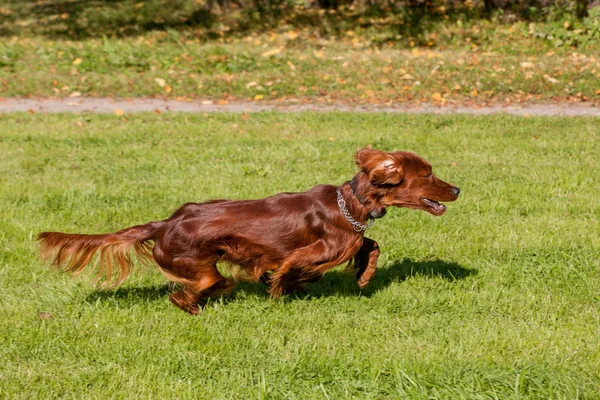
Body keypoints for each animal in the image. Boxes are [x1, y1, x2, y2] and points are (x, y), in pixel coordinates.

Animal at [37, 148, 460, 314]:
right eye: (427, 176)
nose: (457, 190)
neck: (350, 204)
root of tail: (165, 222)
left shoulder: (352, 237)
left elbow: (371, 244)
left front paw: (364, 276)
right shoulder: (314, 250)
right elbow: (294, 266)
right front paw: (279, 286)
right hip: (199, 266)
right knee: (192, 290)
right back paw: (196, 304)